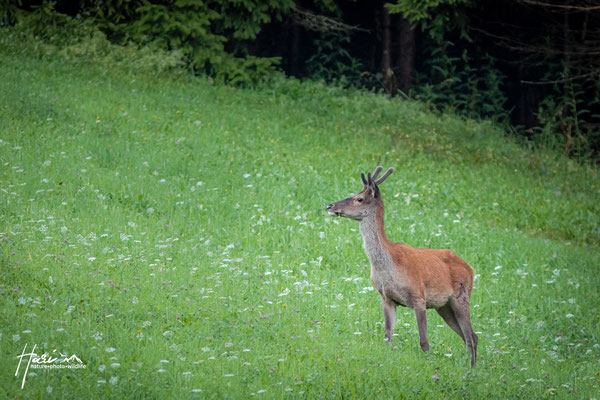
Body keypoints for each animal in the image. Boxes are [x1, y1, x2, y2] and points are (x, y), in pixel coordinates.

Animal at [328, 166, 478, 366]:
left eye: (358, 198)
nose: (330, 206)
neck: (389, 267)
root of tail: (470, 269)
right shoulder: (386, 297)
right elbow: (387, 336)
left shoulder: (418, 296)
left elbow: (424, 342)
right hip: (444, 306)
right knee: (469, 335)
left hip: (462, 296)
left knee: (470, 336)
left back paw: (472, 368)